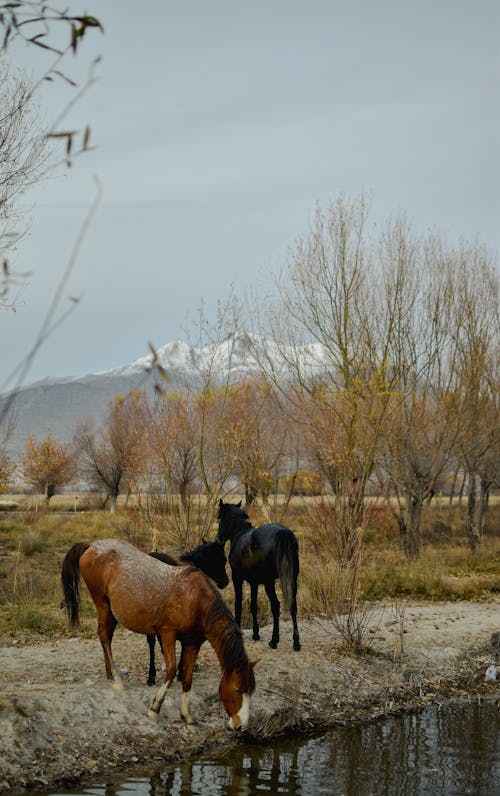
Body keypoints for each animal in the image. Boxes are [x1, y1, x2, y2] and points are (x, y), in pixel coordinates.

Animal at [216, 500, 300, 648]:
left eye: (219, 518)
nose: (218, 539)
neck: (239, 534)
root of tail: (283, 533)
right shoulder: (254, 582)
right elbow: (253, 606)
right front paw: (256, 634)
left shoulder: (237, 578)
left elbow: (238, 604)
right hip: (292, 579)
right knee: (292, 604)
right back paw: (296, 642)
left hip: (269, 583)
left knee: (275, 605)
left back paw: (274, 640)